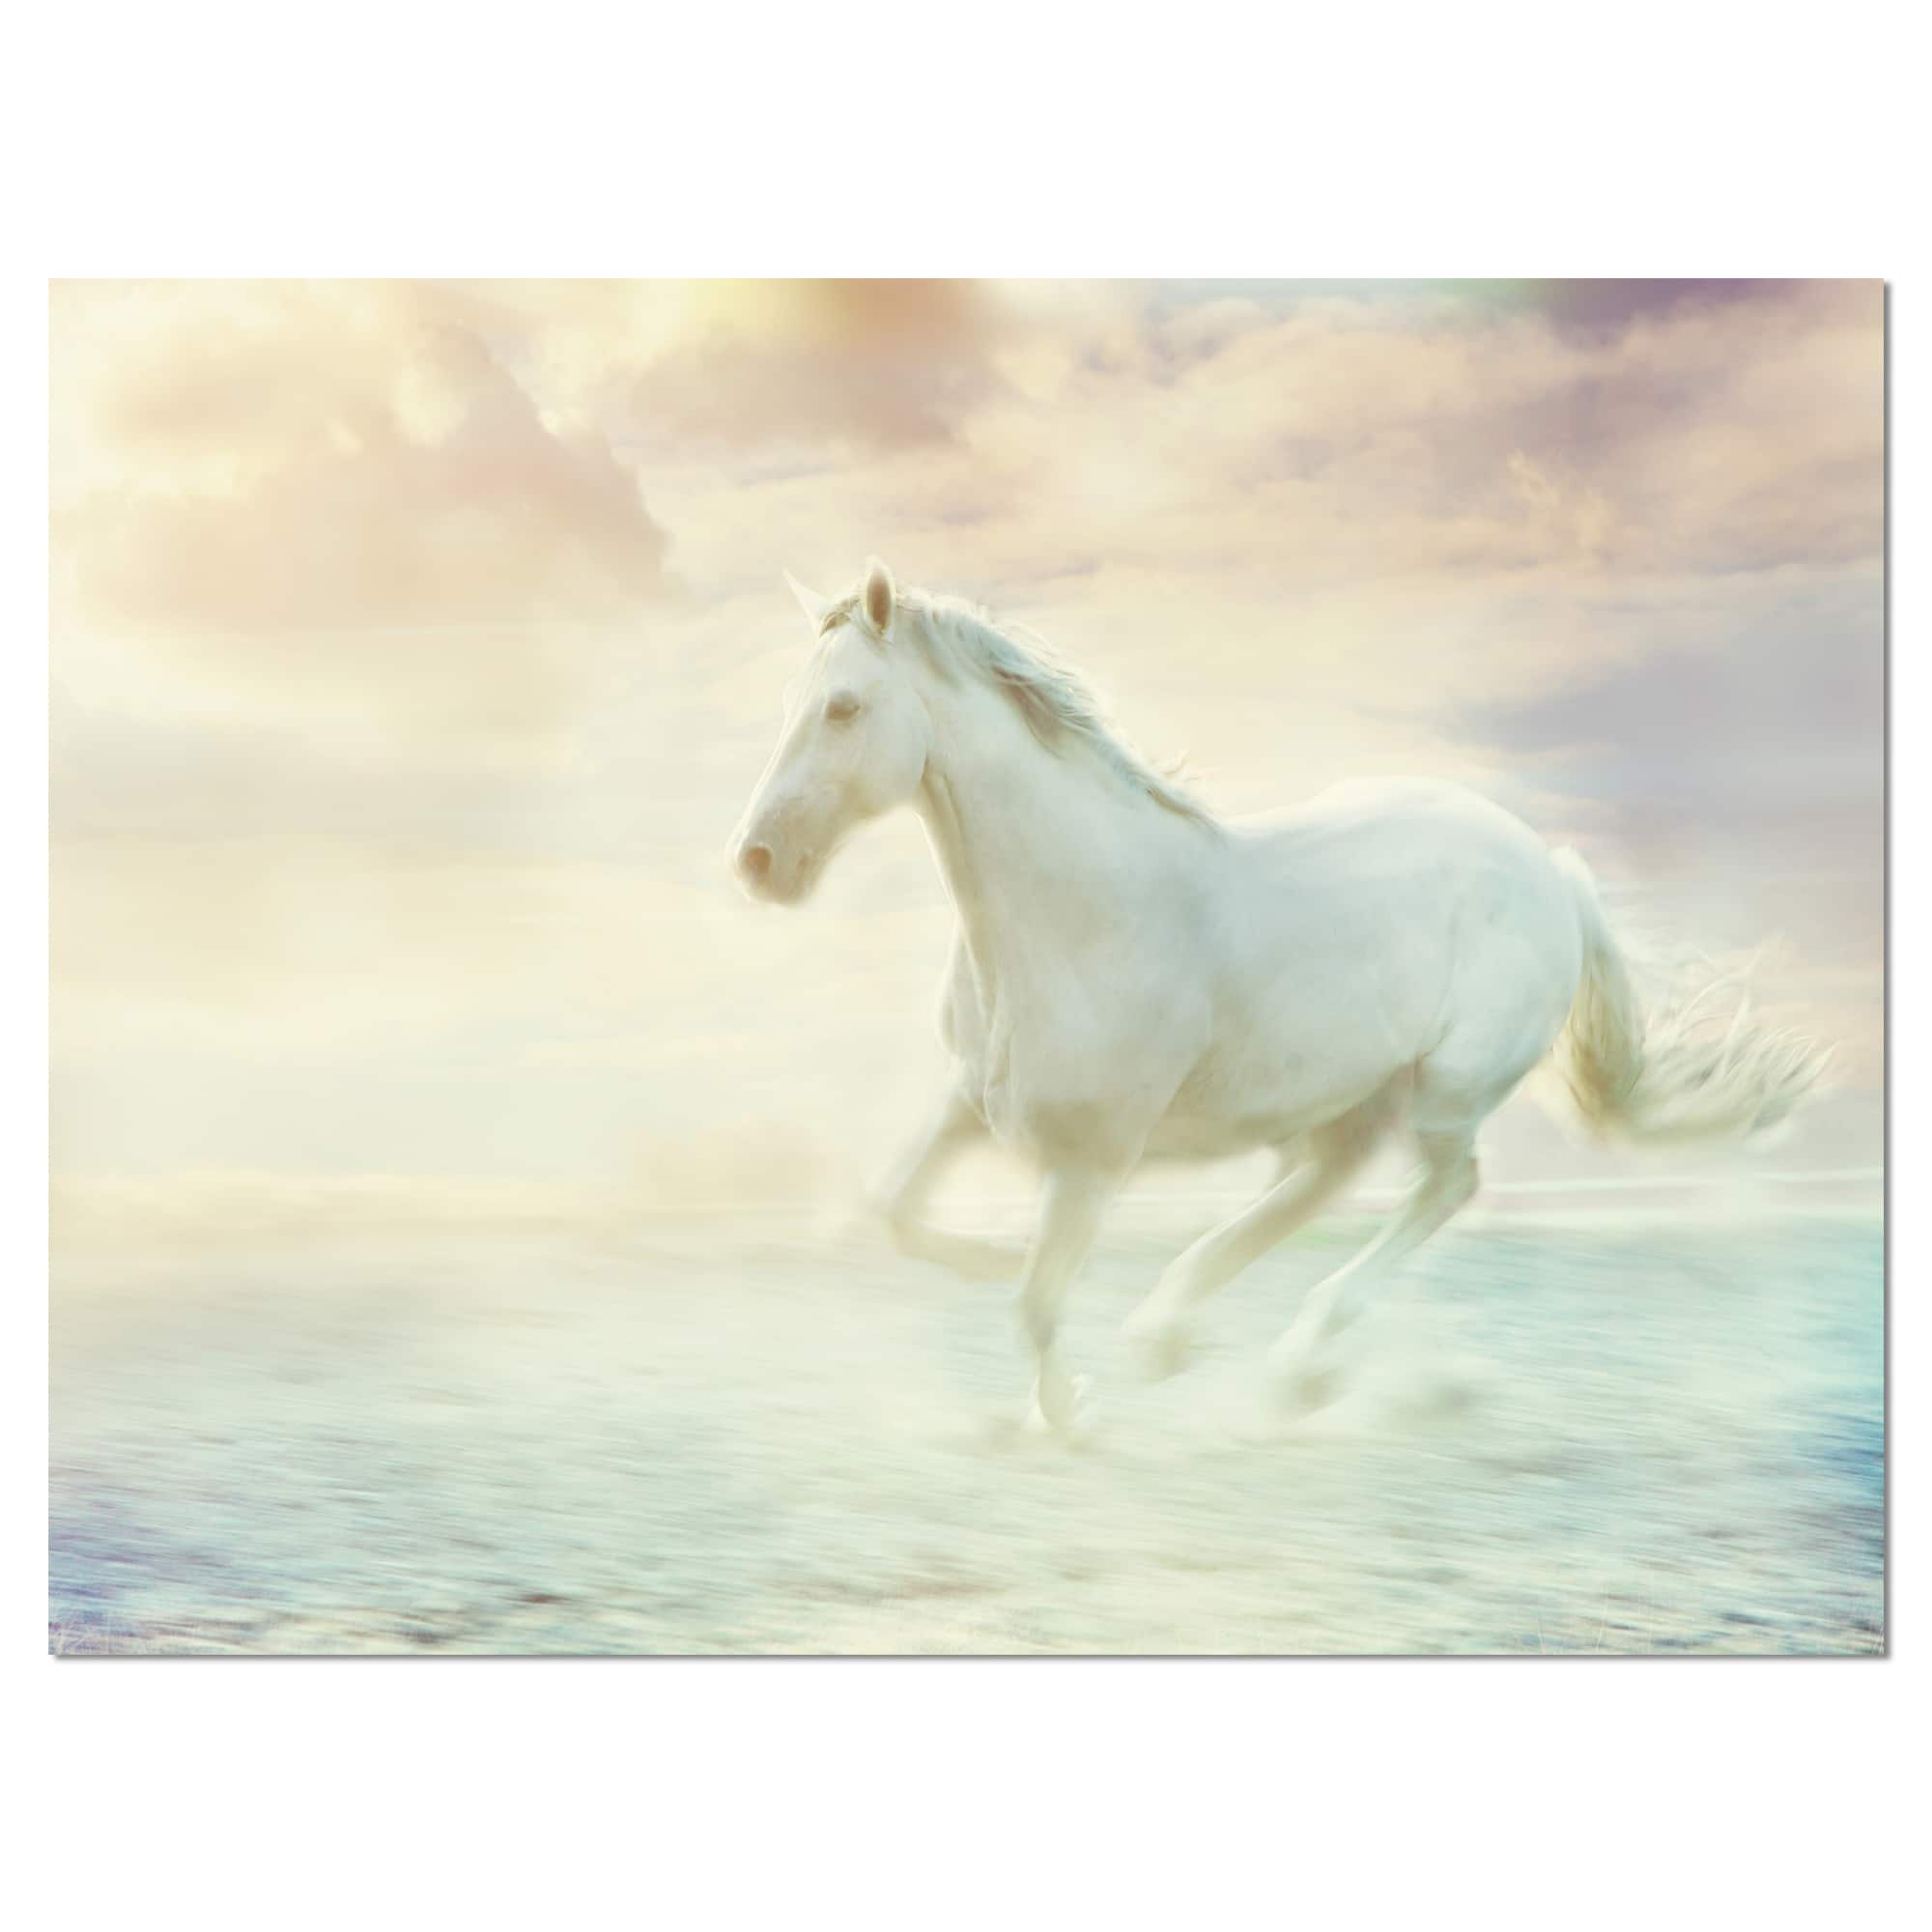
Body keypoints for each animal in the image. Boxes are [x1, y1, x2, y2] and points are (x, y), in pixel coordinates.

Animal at [729, 558, 1826, 1432]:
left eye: (842, 707)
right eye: (787, 704)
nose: (757, 861)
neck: (1080, 911)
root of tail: (1548, 870)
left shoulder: (1092, 1155)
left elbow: (1035, 1306)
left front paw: (1071, 1413)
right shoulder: (973, 1100)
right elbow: (893, 1211)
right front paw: (1003, 1268)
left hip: (1445, 1088)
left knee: (1441, 1188)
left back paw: (1298, 1361)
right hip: (1348, 1093)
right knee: (1324, 1183)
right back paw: (1174, 1333)